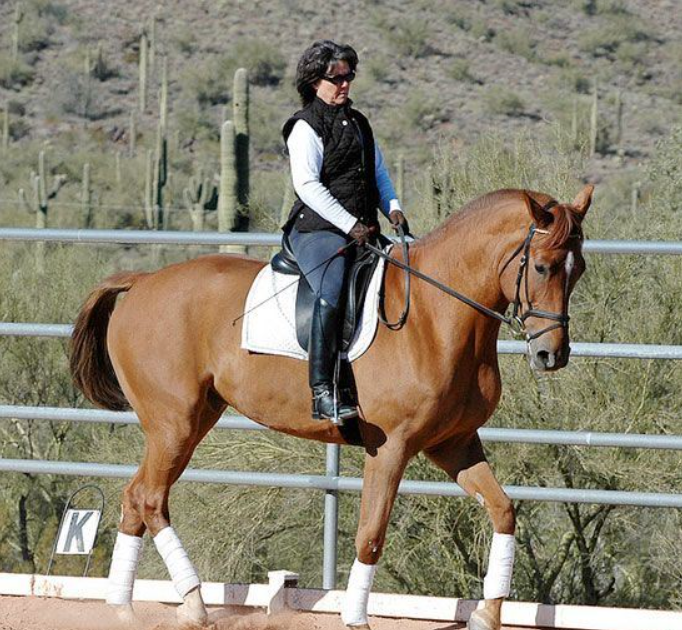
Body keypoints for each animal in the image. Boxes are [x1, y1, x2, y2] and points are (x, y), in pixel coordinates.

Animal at [69, 185, 592, 630]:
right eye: (542, 267)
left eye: (579, 270)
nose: (553, 355)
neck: (435, 316)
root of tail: (142, 282)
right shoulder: (391, 447)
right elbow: (371, 534)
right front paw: (356, 619)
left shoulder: (454, 444)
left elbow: (503, 511)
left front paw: (487, 614)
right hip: (173, 424)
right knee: (151, 497)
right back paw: (194, 604)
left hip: (191, 421)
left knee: (135, 497)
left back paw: (122, 609)